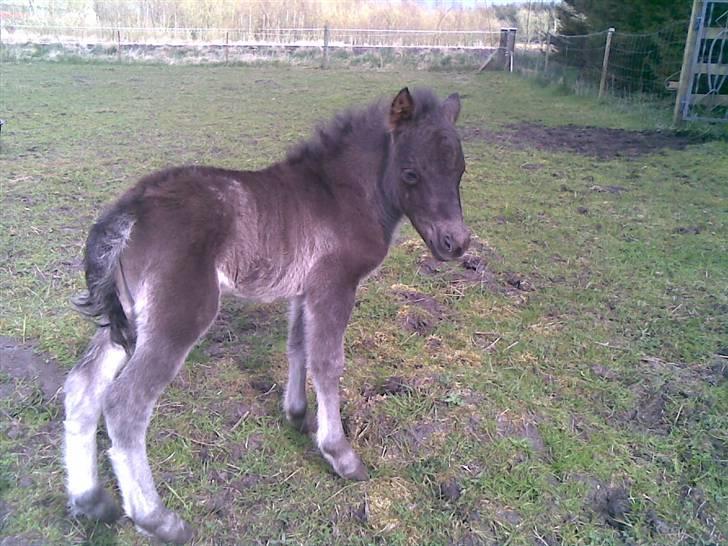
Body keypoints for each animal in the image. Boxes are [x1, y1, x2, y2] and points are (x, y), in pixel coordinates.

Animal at [64, 86, 472, 540]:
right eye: (411, 174)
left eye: (460, 170)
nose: (456, 243)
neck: (342, 195)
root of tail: (129, 210)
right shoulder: (334, 285)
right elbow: (327, 362)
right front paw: (340, 454)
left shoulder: (304, 289)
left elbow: (298, 348)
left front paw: (297, 414)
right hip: (178, 314)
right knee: (125, 403)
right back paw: (159, 520)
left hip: (129, 317)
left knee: (83, 384)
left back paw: (91, 501)